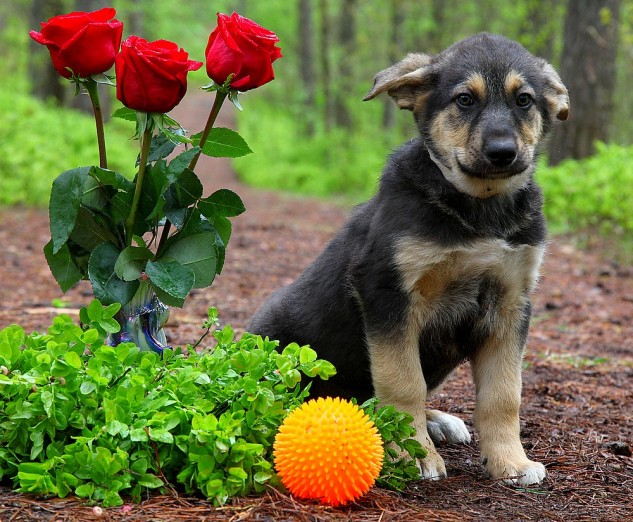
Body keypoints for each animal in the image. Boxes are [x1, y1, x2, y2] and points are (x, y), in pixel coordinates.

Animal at [249, 33, 569, 485]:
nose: (503, 152)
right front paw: (411, 453)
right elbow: (403, 383)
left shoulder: (511, 302)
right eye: (464, 100)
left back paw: (438, 421)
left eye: (524, 100)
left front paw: (511, 462)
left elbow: (504, 395)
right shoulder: (387, 292)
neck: (479, 210)